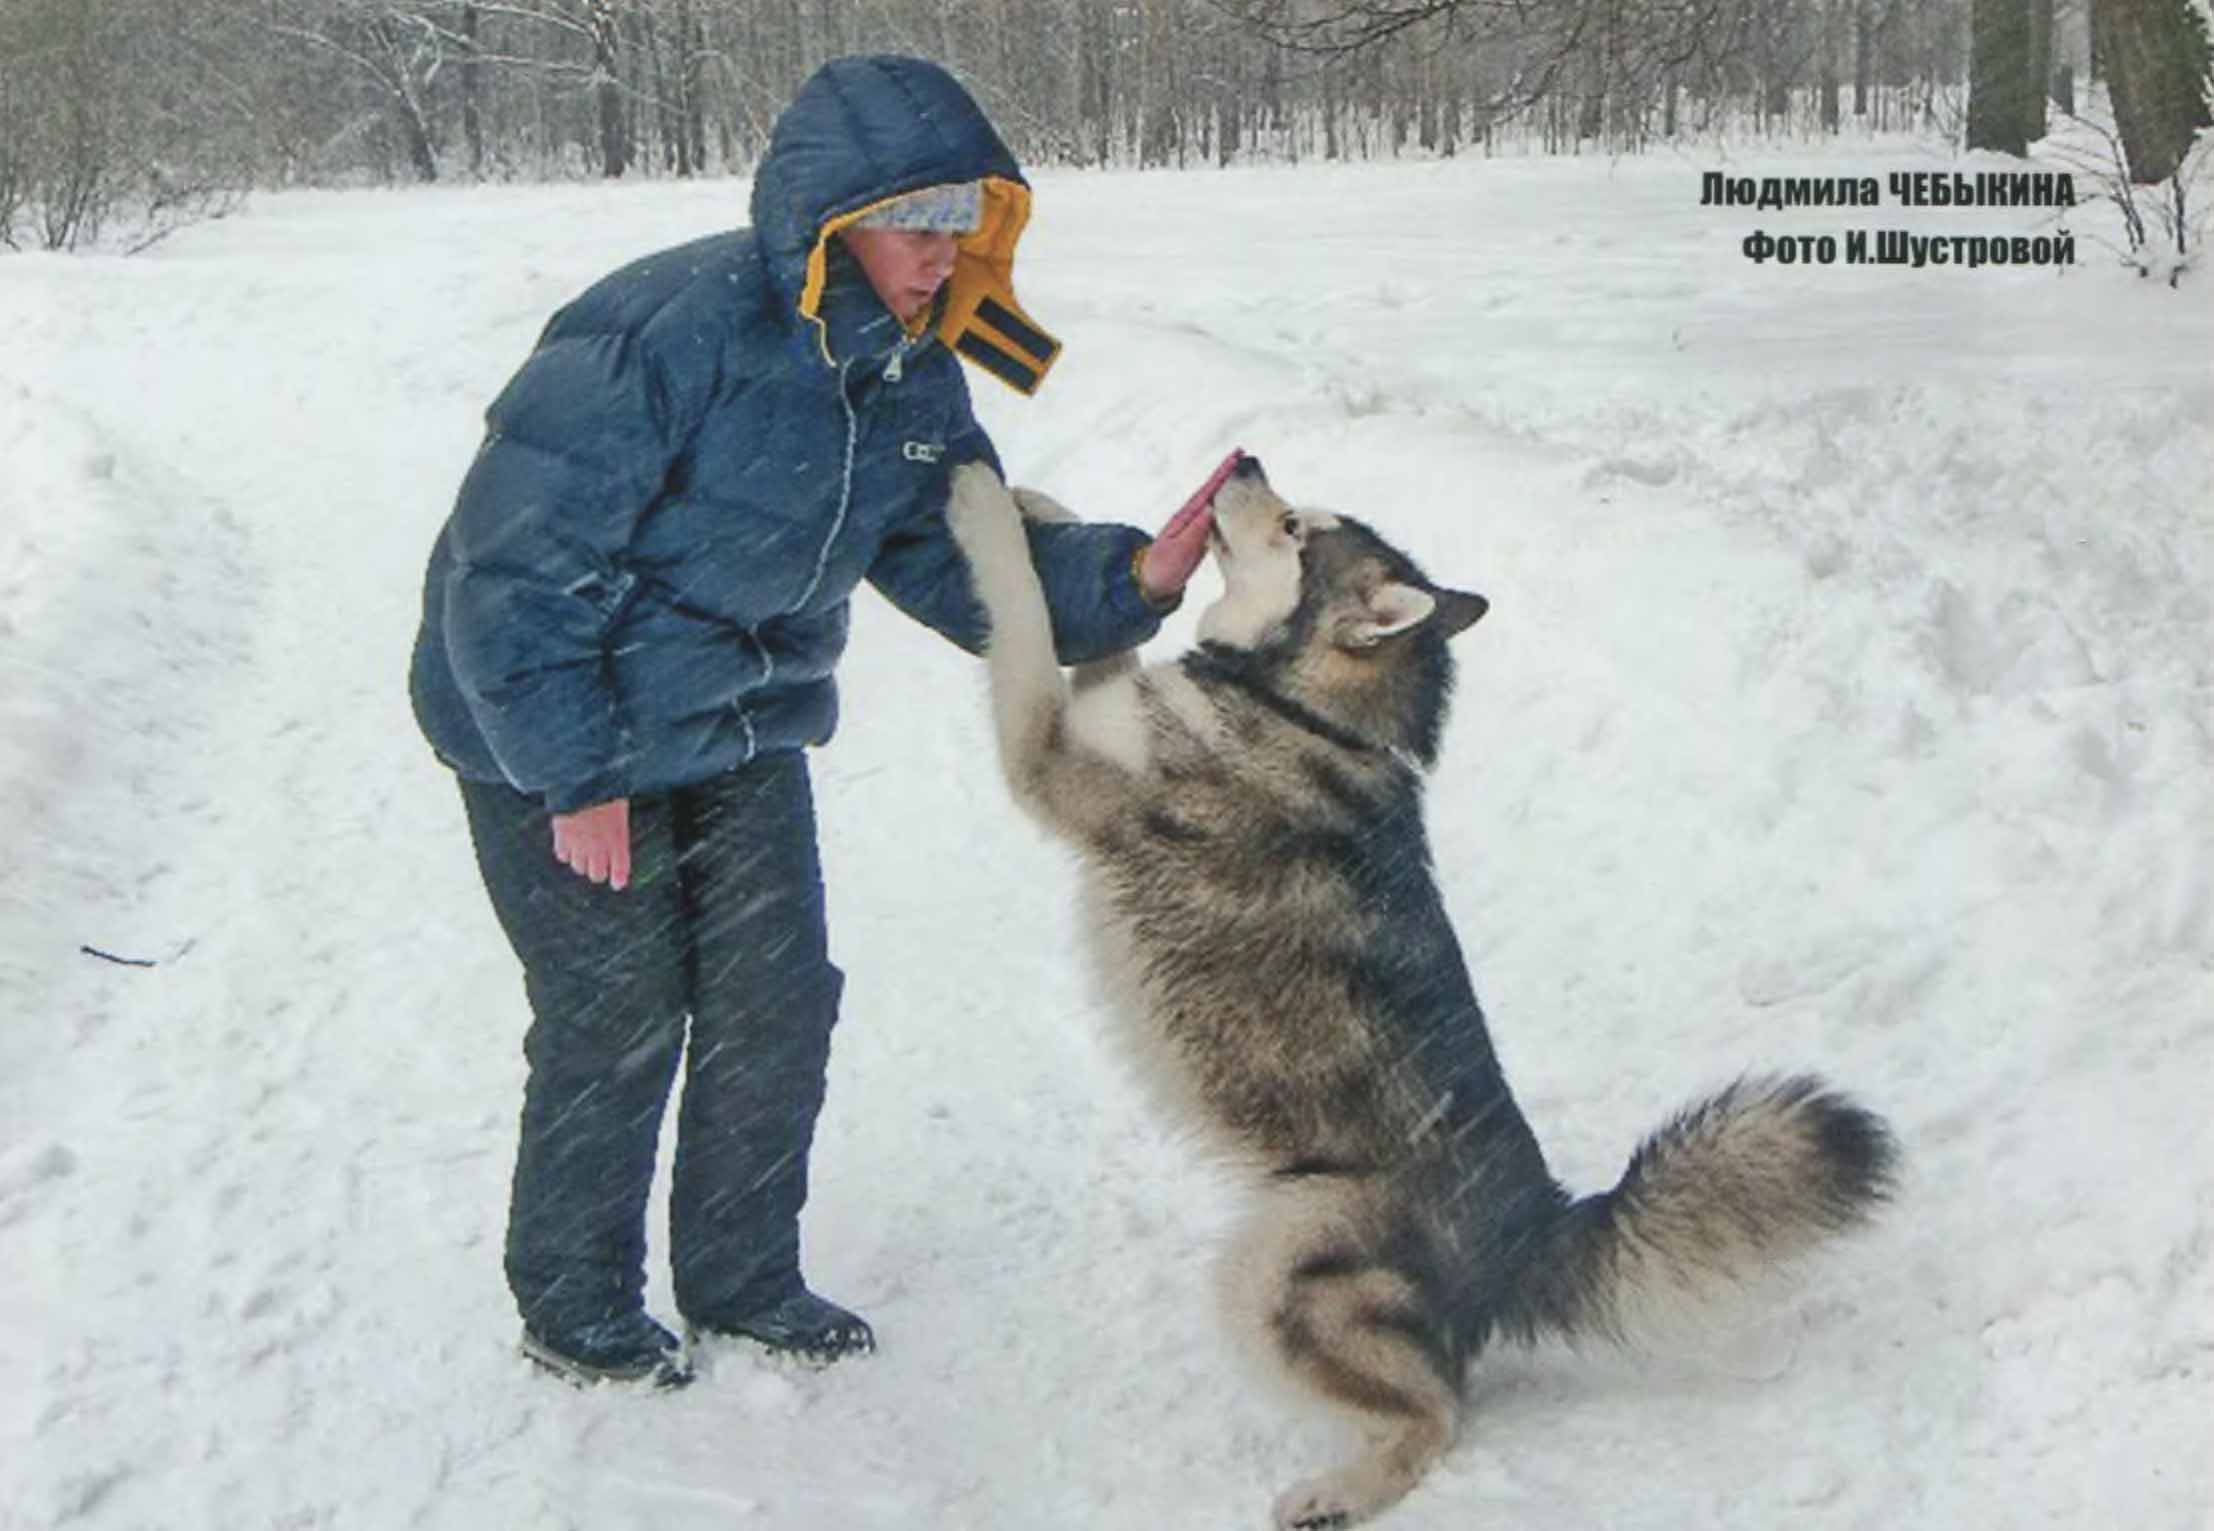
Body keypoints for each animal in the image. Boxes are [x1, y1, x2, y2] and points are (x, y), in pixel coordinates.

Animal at [943, 457, 1895, 1531]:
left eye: (1292, 526)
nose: (1243, 456)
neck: (1297, 704)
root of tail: (1536, 1224)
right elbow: (1102, 640)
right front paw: (1053, 512)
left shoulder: (1049, 756)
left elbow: (1019, 614)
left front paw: (980, 501)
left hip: (1276, 1262)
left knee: (1437, 1414)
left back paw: (1337, 1492)